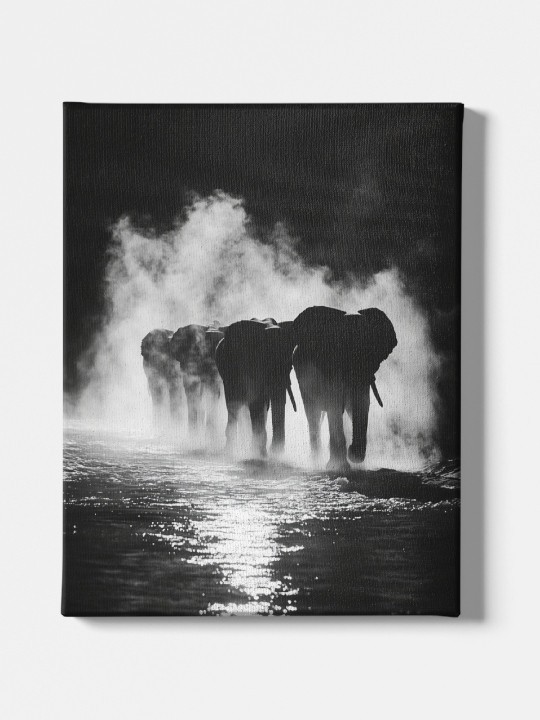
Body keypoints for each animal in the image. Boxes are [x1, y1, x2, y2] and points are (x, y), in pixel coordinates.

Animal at [214, 318, 297, 457]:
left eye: (290, 366)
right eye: (265, 363)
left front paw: (274, 454)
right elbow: (256, 402)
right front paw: (260, 454)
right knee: (233, 405)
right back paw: (230, 449)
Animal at [292, 306, 397, 470]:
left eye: (372, 351)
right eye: (340, 348)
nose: (352, 450)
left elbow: (361, 403)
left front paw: (354, 458)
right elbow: (334, 405)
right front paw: (339, 466)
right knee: (313, 414)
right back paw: (316, 462)